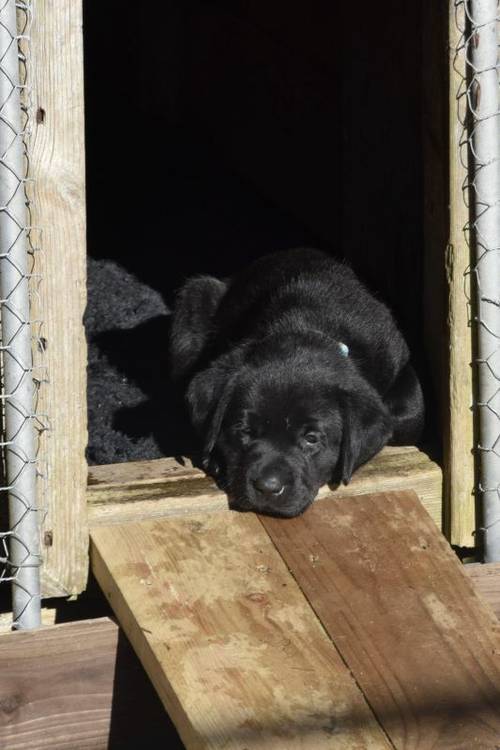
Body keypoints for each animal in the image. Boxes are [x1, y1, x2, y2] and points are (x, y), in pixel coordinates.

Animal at [170, 250, 424, 520]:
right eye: (244, 430)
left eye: (312, 438)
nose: (268, 487)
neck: (309, 324)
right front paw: (216, 458)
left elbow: (406, 416)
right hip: (196, 295)